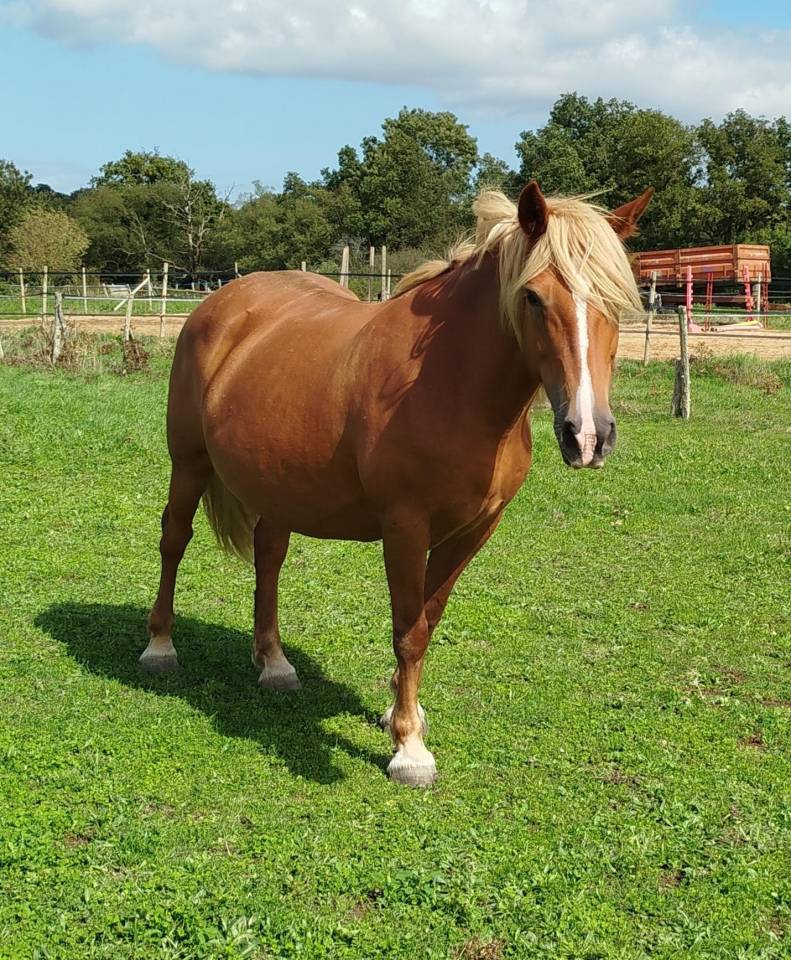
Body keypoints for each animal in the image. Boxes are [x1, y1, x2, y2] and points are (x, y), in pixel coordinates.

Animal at [142, 181, 652, 787]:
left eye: (617, 300)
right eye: (533, 297)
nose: (588, 436)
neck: (451, 384)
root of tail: (221, 303)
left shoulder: (474, 530)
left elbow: (428, 621)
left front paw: (399, 712)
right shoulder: (406, 528)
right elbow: (408, 631)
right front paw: (410, 749)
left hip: (277, 487)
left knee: (269, 558)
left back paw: (274, 663)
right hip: (189, 463)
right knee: (174, 540)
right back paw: (160, 648)